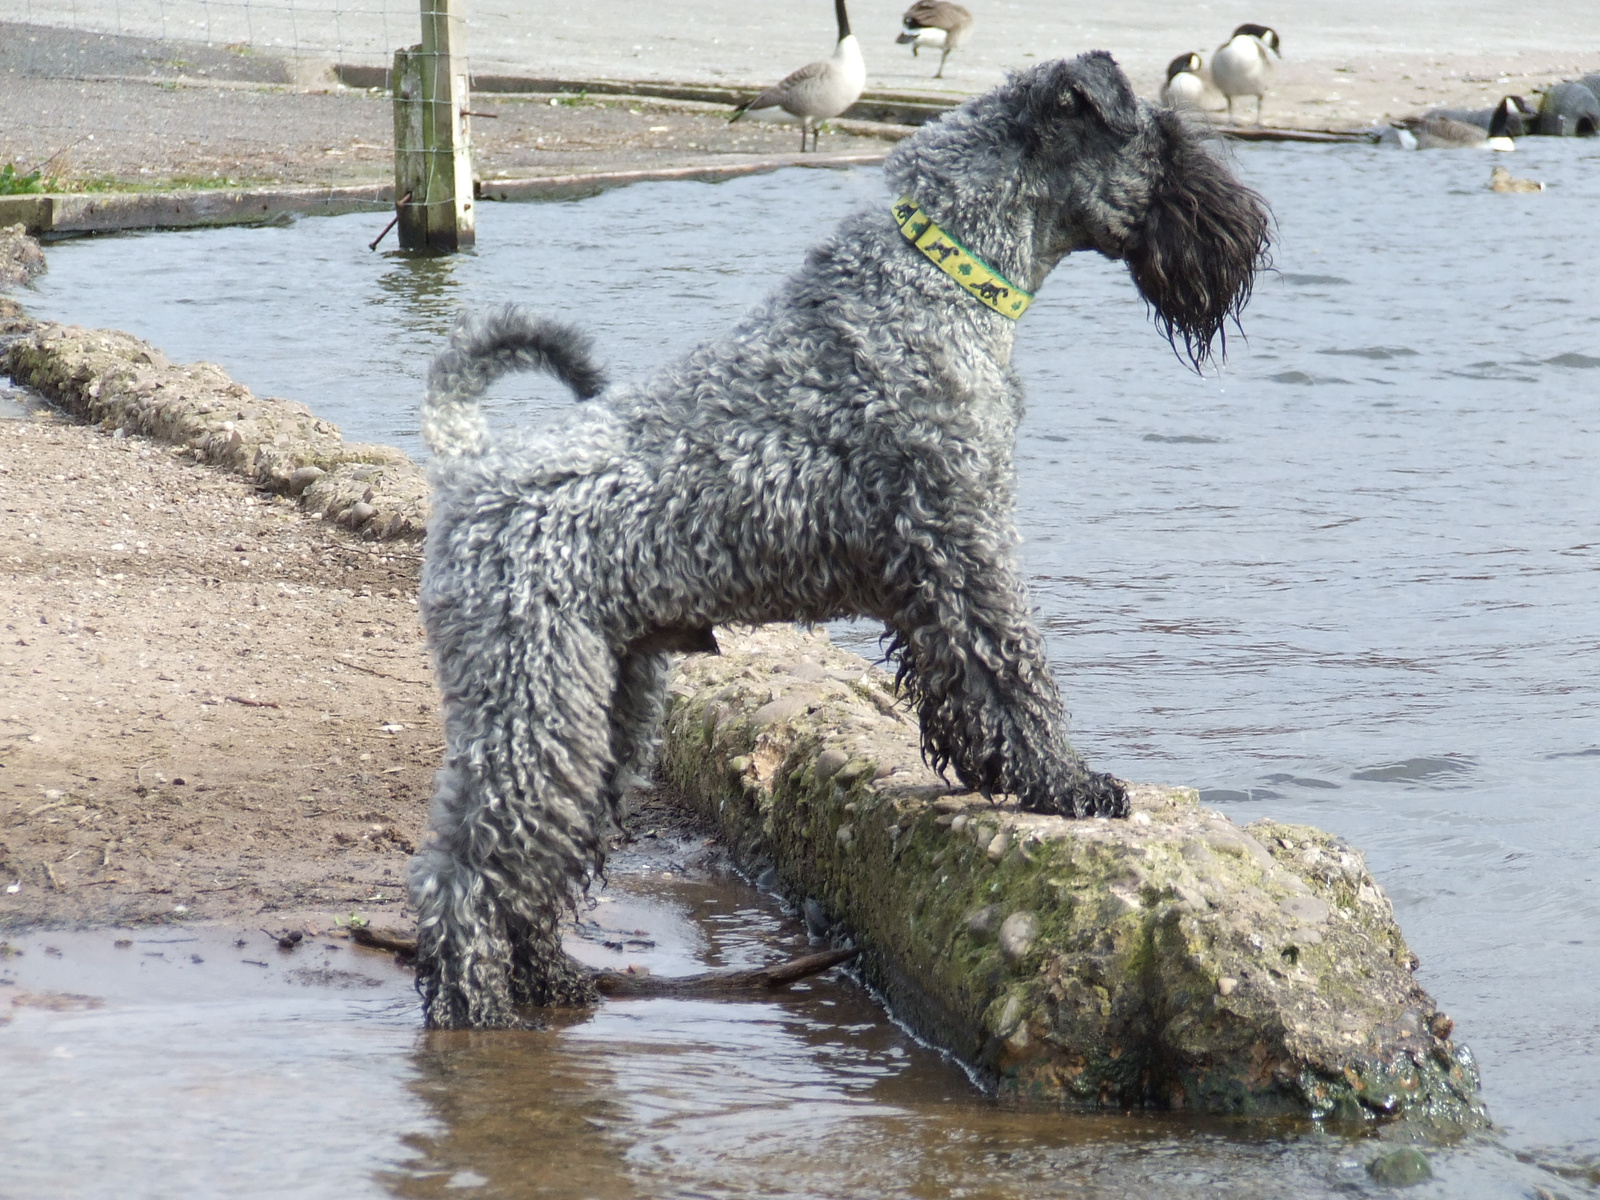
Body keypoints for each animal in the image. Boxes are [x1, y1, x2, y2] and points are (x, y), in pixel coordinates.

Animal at [416, 51, 1273, 1030]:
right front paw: (1067, 785)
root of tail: (470, 472)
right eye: (1165, 142)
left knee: (543, 848)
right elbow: (1013, 673)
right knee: (466, 869)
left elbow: (964, 684)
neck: (936, 280)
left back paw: (546, 978)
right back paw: (479, 1005)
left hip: (608, 707)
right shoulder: (968, 538)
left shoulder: (936, 565)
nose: (1249, 231)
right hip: (532, 697)